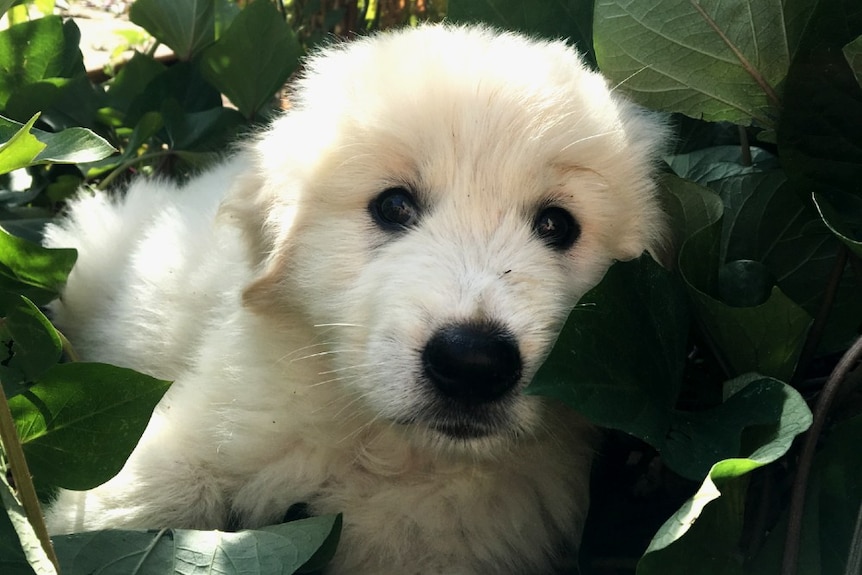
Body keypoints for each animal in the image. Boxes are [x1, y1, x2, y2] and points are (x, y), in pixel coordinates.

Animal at [42, 23, 668, 575]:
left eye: (558, 225)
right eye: (392, 206)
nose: (473, 362)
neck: (380, 445)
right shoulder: (203, 432)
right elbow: (127, 506)